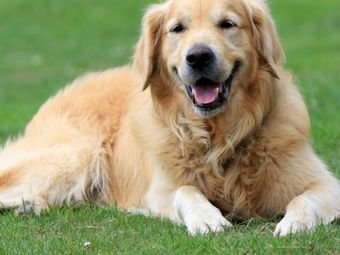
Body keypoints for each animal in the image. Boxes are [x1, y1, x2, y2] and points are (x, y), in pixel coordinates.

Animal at [0, 0, 340, 237]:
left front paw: (294, 224)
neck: (219, 136)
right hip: (77, 156)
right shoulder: (160, 191)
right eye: (177, 29)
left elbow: (302, 200)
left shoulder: (327, 185)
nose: (199, 56)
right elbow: (186, 191)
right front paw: (207, 218)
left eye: (227, 24)